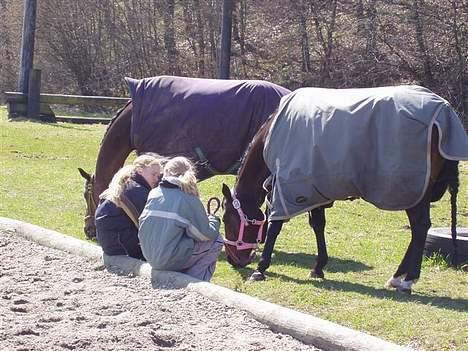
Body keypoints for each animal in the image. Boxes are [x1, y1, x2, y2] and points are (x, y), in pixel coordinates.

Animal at [221, 85, 466, 294]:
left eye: (227, 220)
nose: (233, 260)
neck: (273, 133)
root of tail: (444, 112)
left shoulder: (290, 186)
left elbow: (275, 226)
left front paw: (260, 268)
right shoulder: (314, 190)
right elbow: (318, 225)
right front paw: (318, 267)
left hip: (411, 190)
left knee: (420, 227)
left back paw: (407, 279)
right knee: (418, 230)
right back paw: (398, 277)